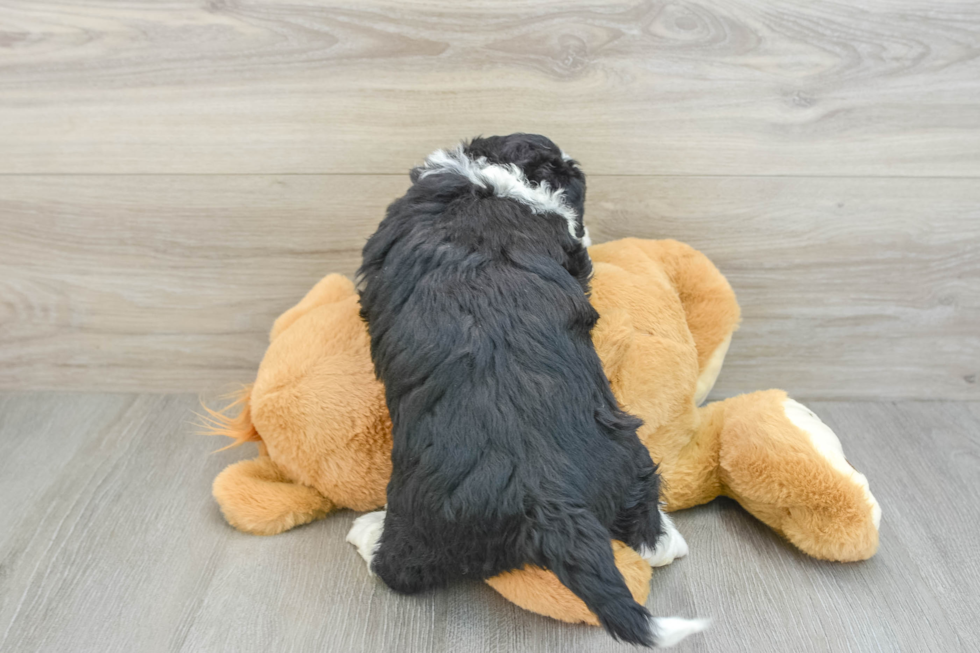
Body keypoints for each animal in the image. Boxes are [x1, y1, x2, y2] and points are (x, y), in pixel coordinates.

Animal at [344, 135, 704, 644]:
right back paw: (667, 539)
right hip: (625, 448)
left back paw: (368, 532)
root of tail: (547, 499)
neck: (490, 187)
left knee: (400, 569)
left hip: (423, 518)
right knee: (644, 509)